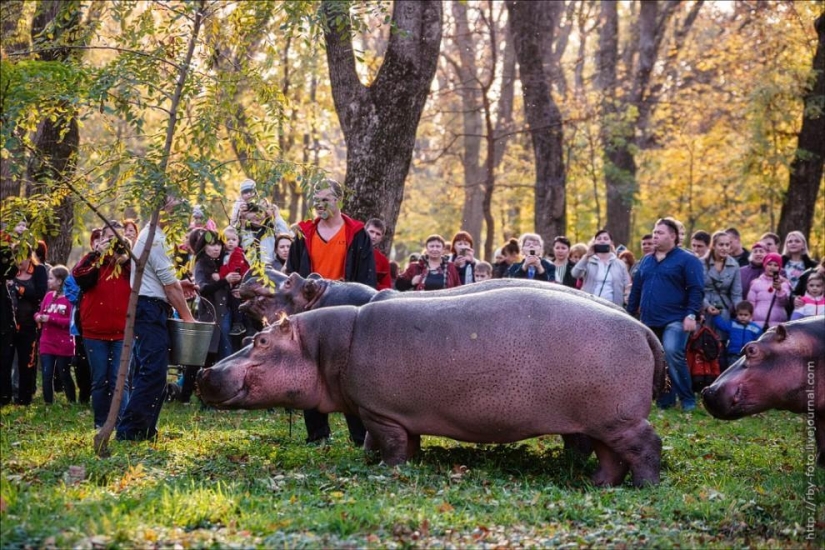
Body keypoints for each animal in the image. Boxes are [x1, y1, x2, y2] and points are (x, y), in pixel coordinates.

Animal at [198, 288, 664, 488]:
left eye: (261, 341)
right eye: (248, 336)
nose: (204, 373)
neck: (325, 345)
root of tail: (643, 328)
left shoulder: (379, 411)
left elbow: (388, 444)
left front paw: (388, 471)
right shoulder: (391, 413)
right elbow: (395, 441)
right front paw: (382, 461)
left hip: (618, 418)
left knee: (647, 445)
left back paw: (644, 487)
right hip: (603, 419)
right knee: (611, 455)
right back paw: (599, 484)